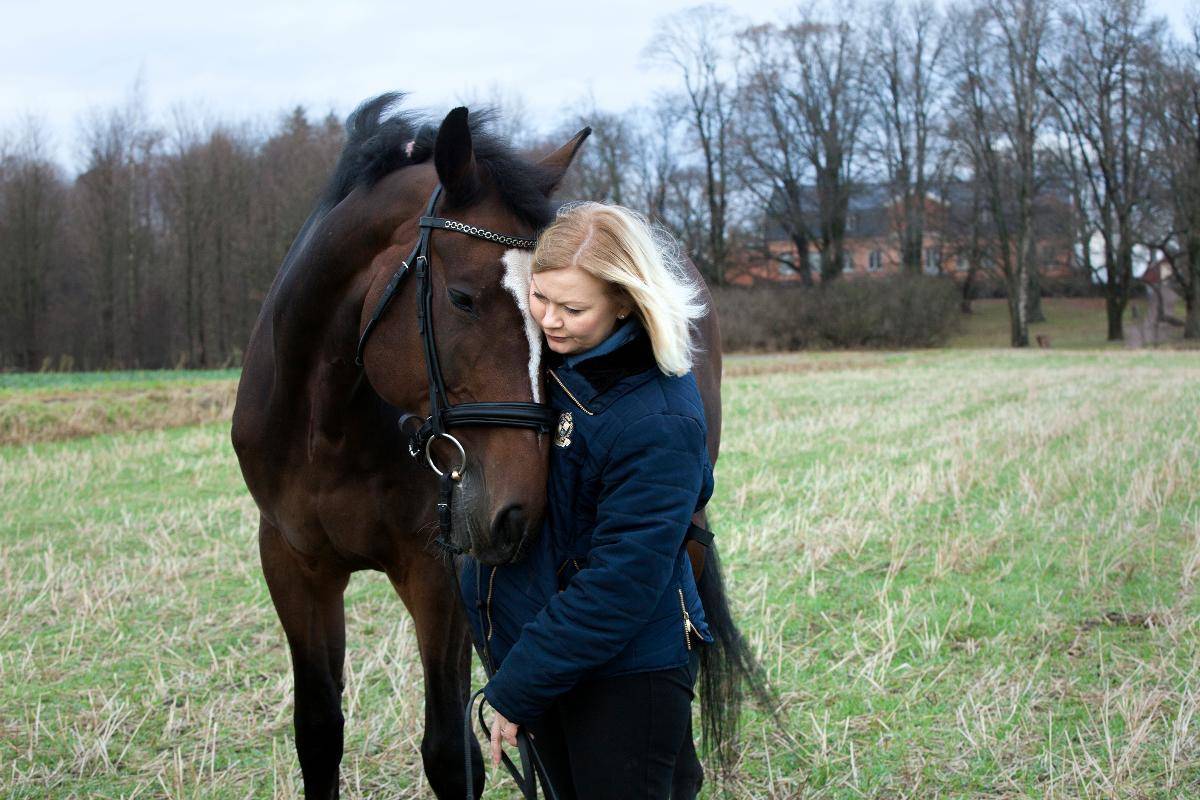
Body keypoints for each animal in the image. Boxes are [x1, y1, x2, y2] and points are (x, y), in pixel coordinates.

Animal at [229, 95, 753, 800]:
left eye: (551, 320)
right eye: (462, 298)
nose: (517, 513)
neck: (326, 427)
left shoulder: (438, 574)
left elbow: (451, 753)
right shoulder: (293, 563)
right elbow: (317, 732)